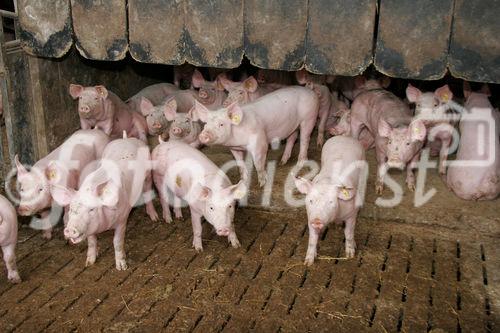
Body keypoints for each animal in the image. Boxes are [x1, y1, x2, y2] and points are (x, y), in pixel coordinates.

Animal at [50, 132, 156, 270]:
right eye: (72, 208)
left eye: (91, 209)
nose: (70, 229)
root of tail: (126, 139)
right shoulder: (90, 228)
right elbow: (91, 242)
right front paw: (89, 263)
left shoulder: (122, 219)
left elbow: (117, 242)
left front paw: (122, 267)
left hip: (148, 172)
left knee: (148, 190)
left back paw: (154, 218)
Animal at [189, 87, 318, 185]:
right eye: (206, 124)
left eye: (221, 124)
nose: (203, 135)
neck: (239, 142)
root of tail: (311, 92)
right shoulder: (234, 148)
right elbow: (239, 163)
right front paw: (243, 180)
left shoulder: (260, 143)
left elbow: (258, 164)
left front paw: (262, 183)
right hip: (293, 125)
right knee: (292, 138)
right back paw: (282, 162)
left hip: (309, 118)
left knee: (305, 139)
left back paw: (300, 163)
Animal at [294, 135, 366, 264]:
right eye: (311, 200)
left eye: (331, 202)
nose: (317, 220)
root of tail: (345, 137)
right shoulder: (309, 217)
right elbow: (312, 240)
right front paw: (308, 262)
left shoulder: (351, 215)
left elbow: (348, 233)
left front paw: (350, 255)